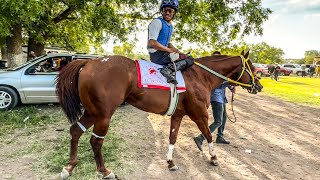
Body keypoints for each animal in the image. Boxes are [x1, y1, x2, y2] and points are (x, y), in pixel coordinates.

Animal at [57, 50, 262, 179]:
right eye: (251, 67)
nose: (259, 86)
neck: (200, 76)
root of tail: (91, 61)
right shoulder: (200, 115)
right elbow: (208, 135)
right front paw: (213, 158)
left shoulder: (178, 115)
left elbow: (173, 138)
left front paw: (170, 162)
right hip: (104, 115)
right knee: (96, 141)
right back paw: (105, 171)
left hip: (93, 112)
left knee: (75, 130)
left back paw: (69, 166)